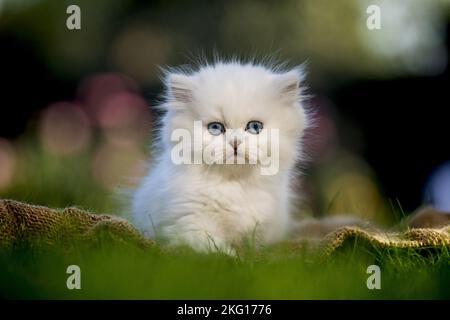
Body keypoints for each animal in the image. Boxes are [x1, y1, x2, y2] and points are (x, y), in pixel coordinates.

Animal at [132, 61, 310, 254]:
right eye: (216, 128)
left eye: (254, 127)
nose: (235, 142)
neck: (234, 186)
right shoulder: (189, 225)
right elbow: (215, 249)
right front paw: (232, 257)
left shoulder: (263, 230)